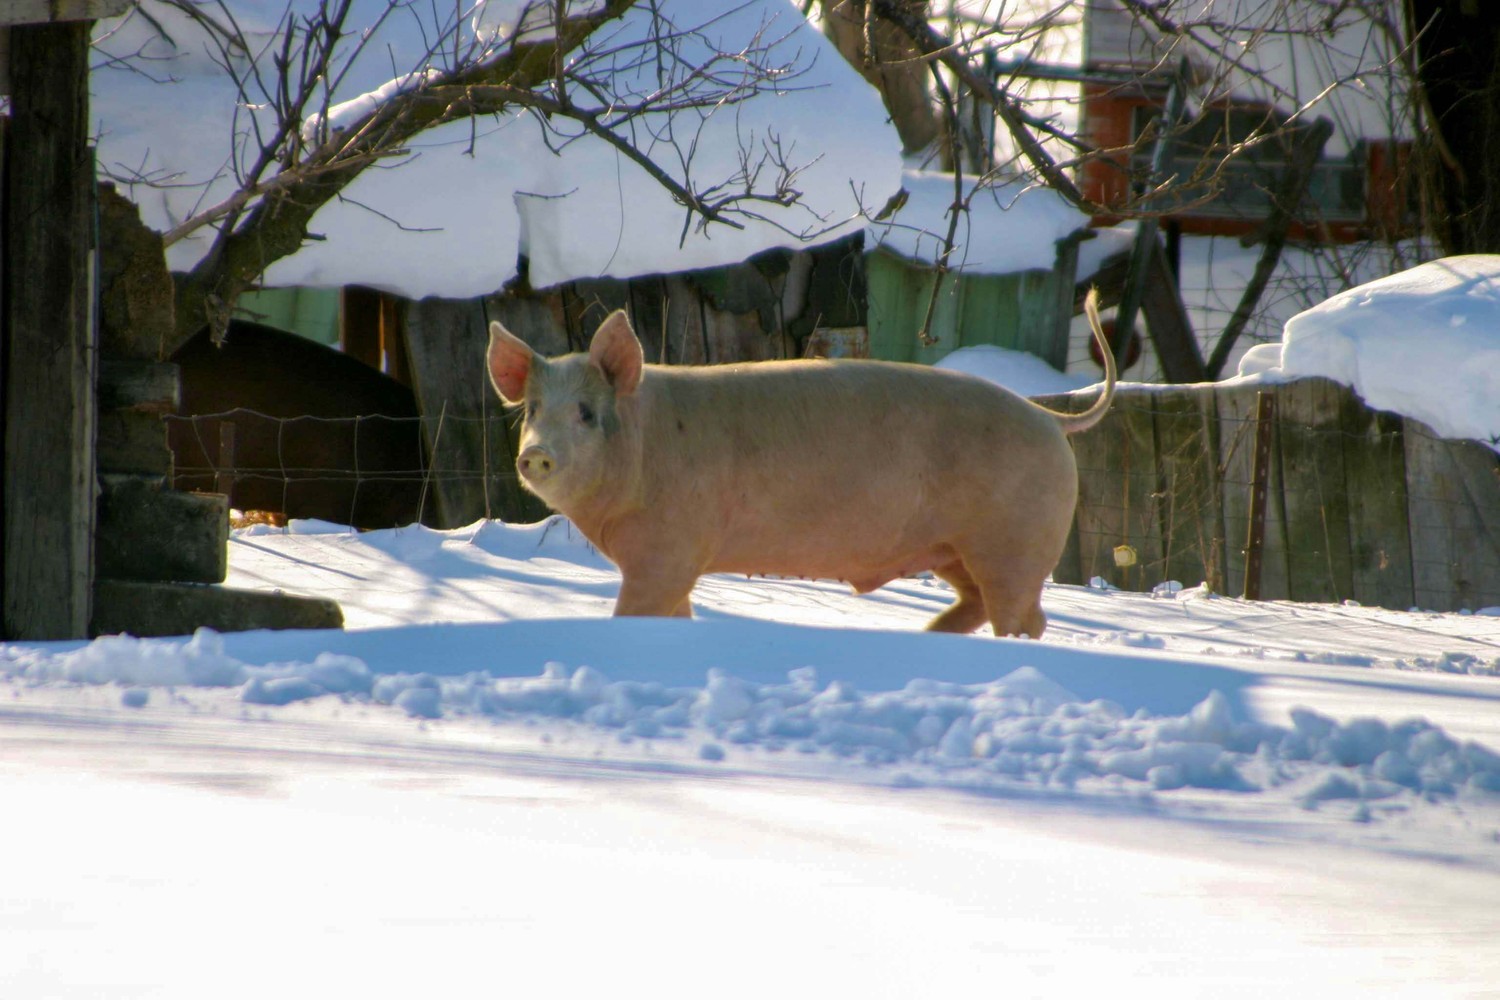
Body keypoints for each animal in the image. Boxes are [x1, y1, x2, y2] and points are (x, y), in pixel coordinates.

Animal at [486, 289, 1122, 638]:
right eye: (534, 409)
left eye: (587, 413)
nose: (535, 453)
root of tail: (1050, 418)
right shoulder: (670, 560)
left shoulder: (667, 551)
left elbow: (639, 612)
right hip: (955, 548)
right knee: (978, 604)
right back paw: (928, 634)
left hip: (1014, 540)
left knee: (1022, 615)